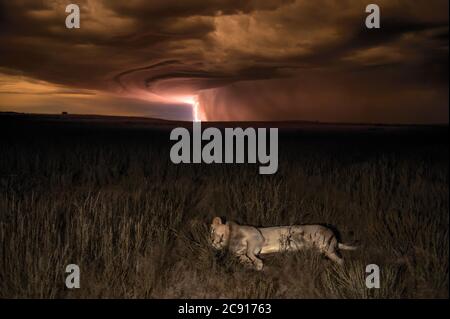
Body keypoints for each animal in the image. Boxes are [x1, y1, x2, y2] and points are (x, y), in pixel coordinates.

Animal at [209, 216, 356, 272]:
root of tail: (335, 237)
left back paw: (342, 271)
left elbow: (250, 251)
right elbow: (244, 257)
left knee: (341, 260)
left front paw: (258, 264)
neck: (230, 239)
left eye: (213, 231)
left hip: (327, 247)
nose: (211, 241)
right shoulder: (240, 252)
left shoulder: (256, 235)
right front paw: (254, 265)